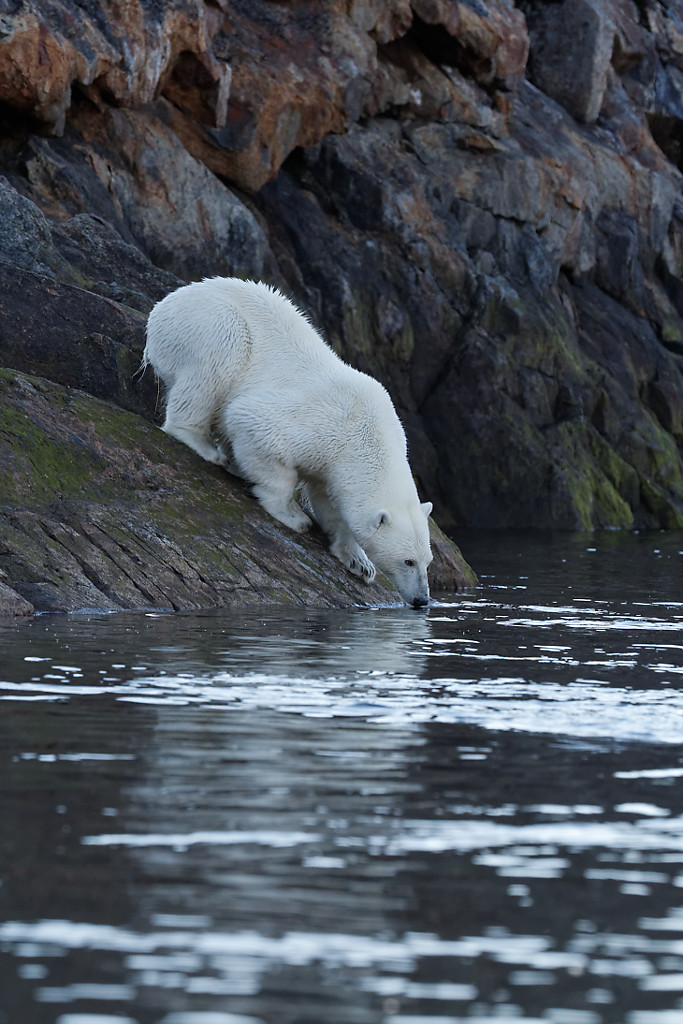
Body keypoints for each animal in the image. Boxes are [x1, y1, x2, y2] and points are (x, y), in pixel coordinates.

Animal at [144, 276, 432, 602]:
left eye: (427, 562)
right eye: (408, 561)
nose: (422, 600)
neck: (369, 439)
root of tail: (167, 303)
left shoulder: (334, 462)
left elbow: (331, 501)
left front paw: (359, 562)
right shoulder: (322, 426)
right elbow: (253, 424)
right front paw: (294, 516)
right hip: (209, 323)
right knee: (217, 359)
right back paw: (206, 446)